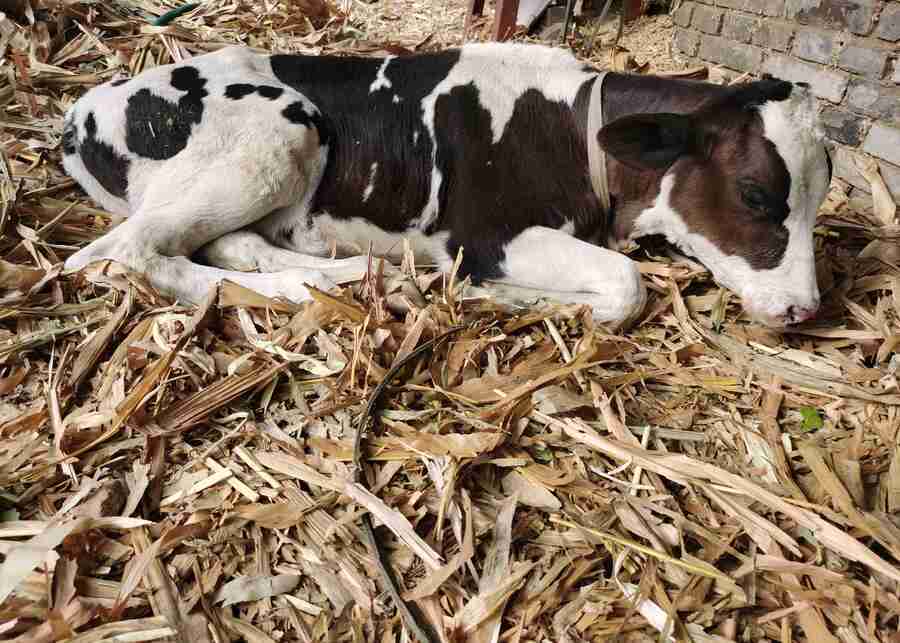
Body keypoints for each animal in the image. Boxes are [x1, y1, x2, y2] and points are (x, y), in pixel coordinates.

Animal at [60, 43, 832, 328]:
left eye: (820, 198)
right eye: (757, 193)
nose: (806, 308)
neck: (577, 127)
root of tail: (85, 106)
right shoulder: (484, 233)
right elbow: (624, 284)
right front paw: (499, 294)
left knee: (232, 245)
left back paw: (343, 275)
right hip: (274, 133)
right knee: (120, 253)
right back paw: (301, 290)